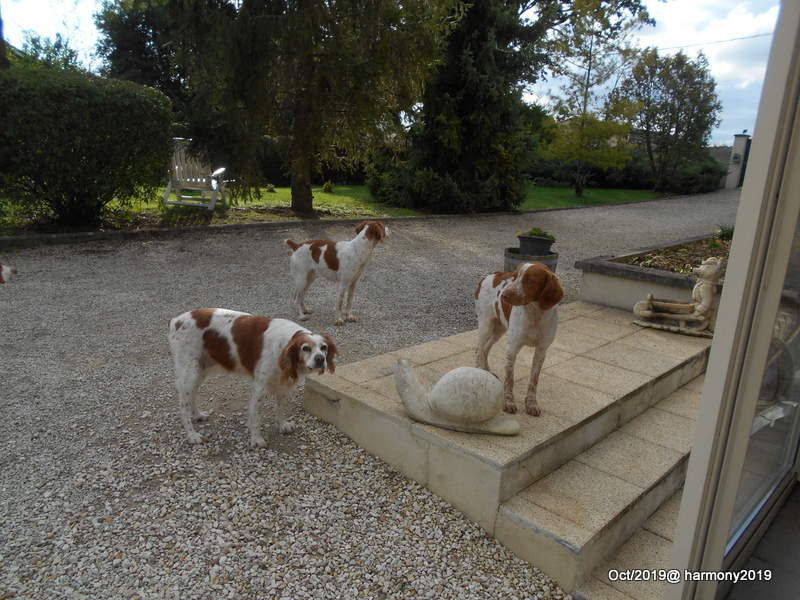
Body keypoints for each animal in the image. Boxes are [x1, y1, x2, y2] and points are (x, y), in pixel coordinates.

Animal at [167, 310, 336, 446]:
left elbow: (280, 409)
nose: (320, 359)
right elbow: (256, 417)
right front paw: (256, 439)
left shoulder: (280, 383)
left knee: (192, 397)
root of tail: (176, 320)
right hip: (190, 372)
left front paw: (282, 425)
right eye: (306, 348)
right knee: (183, 407)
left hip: (200, 371)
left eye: (324, 348)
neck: (283, 347)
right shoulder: (259, 388)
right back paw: (192, 435)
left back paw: (198, 415)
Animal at [476, 262, 564, 418]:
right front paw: (508, 402)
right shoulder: (512, 348)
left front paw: (531, 404)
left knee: (485, 349)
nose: (504, 295)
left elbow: (534, 380)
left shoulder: (542, 351)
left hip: (499, 330)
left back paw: (486, 370)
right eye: (515, 277)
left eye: (529, 280)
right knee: (479, 349)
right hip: (486, 326)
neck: (535, 313)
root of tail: (490, 275)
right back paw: (479, 370)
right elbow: (509, 378)